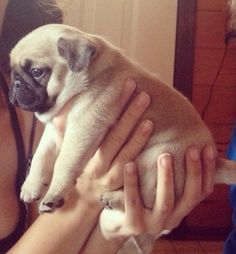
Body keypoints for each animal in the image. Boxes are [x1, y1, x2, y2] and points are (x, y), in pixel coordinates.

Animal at [8, 23, 236, 252]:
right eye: (12, 72)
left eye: (37, 72)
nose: (16, 84)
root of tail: (215, 161)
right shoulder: (53, 132)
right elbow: (41, 156)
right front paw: (31, 185)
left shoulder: (83, 128)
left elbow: (64, 163)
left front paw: (54, 194)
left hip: (157, 158)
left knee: (145, 200)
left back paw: (115, 199)